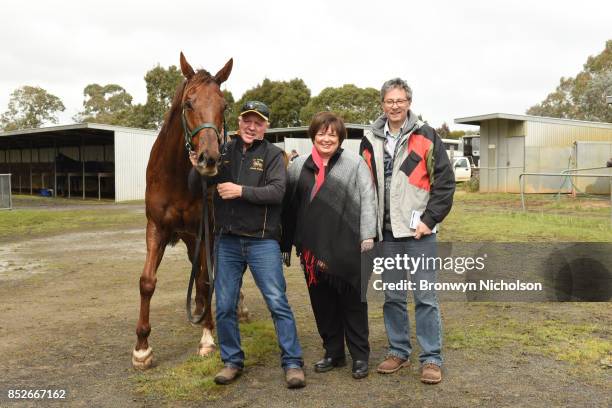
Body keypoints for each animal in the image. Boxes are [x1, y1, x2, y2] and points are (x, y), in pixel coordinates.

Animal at [132, 52, 234, 368]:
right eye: (189, 103)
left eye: (224, 105)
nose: (209, 159)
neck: (177, 175)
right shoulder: (156, 228)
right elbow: (147, 282)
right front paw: (142, 348)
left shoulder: (207, 229)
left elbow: (206, 279)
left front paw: (208, 338)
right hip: (190, 238)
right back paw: (199, 309)